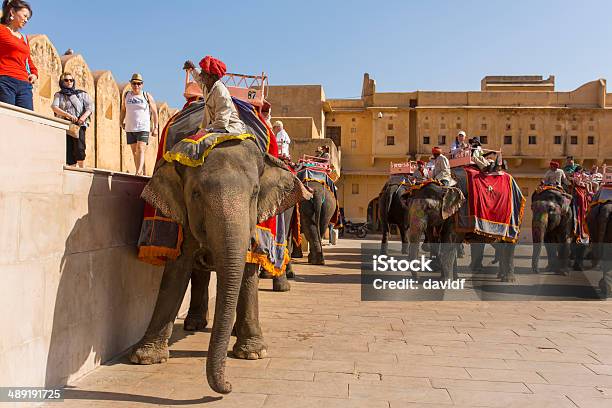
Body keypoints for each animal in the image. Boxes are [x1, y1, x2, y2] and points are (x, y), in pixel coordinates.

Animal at [128, 138, 310, 396]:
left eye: (255, 193)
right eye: (195, 193)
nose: (229, 386)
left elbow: (247, 268)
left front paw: (253, 354)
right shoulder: (183, 214)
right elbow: (177, 269)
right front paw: (145, 358)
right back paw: (195, 324)